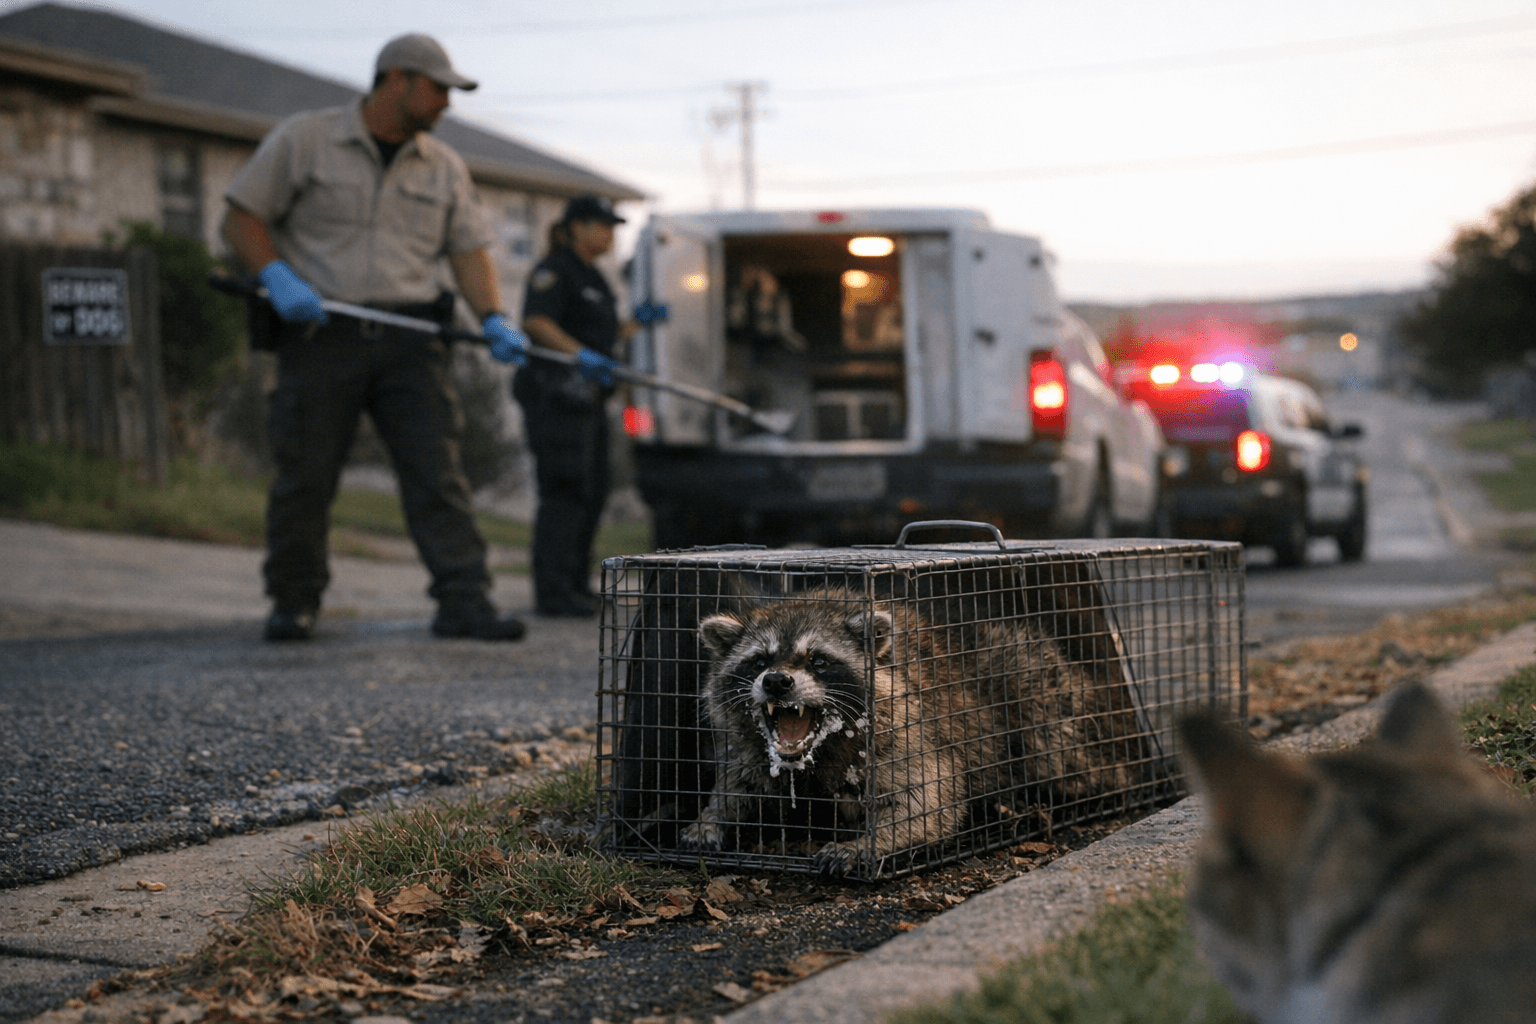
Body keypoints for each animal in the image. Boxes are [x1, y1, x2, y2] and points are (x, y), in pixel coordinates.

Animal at [681, 587, 1143, 875]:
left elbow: (925, 803)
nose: (777, 682)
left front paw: (866, 843)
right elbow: (738, 783)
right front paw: (710, 816)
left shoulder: (907, 732)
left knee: (1058, 750)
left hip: (1033, 680)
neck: (821, 751)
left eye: (818, 660)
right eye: (759, 661)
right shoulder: (751, 747)